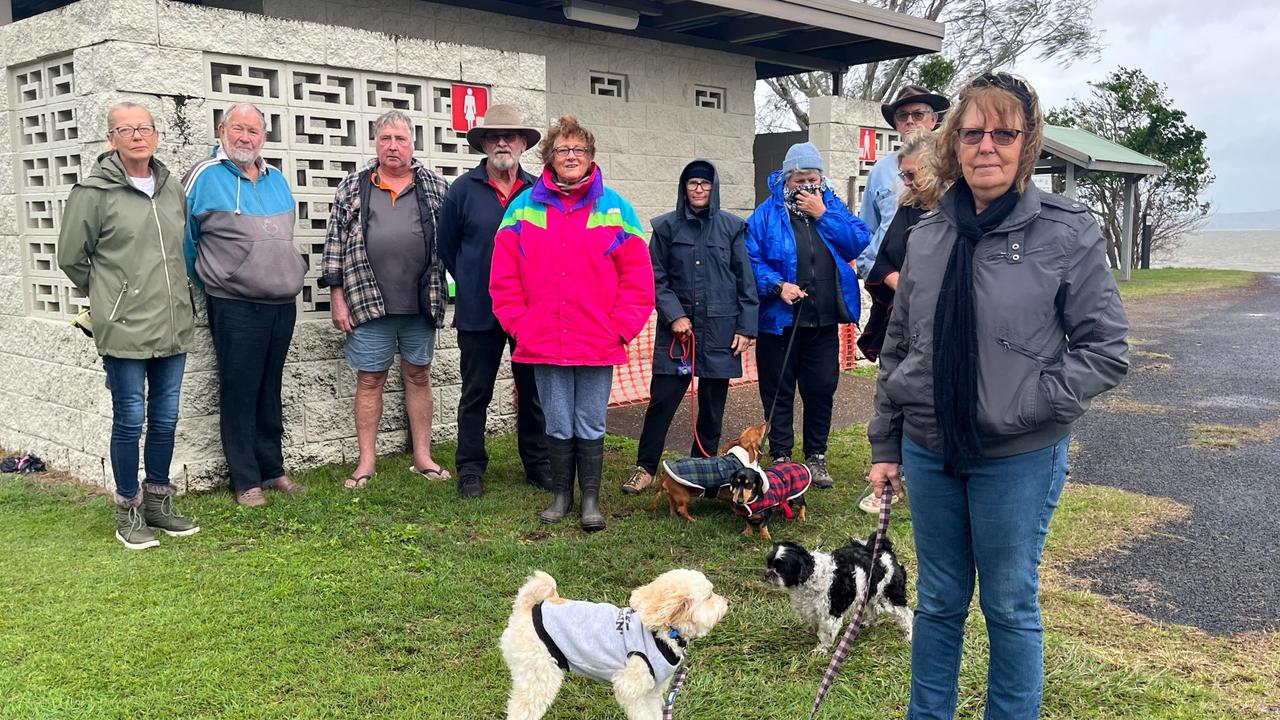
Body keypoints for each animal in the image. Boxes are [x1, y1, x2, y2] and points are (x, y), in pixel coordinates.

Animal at [496, 566, 727, 717]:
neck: (664, 634)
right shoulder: (630, 688)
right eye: (709, 596)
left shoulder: (653, 690)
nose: (727, 602)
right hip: (538, 674)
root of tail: (525, 607)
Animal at [757, 535, 911, 653]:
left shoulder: (829, 613)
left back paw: (909, 636)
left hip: (890, 597)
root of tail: (885, 552)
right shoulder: (812, 610)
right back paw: (869, 622)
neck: (811, 576)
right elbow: (816, 626)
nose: (767, 574)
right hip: (870, 593)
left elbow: (826, 632)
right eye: (769, 563)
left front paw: (822, 648)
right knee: (875, 609)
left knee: (906, 615)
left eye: (781, 568)